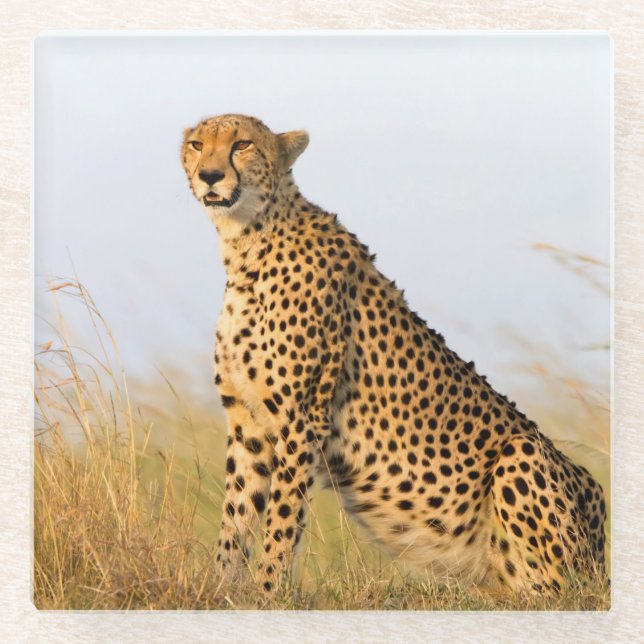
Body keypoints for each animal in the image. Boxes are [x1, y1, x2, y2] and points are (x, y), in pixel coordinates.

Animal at [180, 113, 607, 595]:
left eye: (243, 145)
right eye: (197, 145)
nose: (209, 175)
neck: (248, 241)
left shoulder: (301, 418)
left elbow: (282, 520)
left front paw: (268, 592)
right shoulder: (248, 423)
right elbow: (236, 516)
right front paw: (220, 589)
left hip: (523, 459)